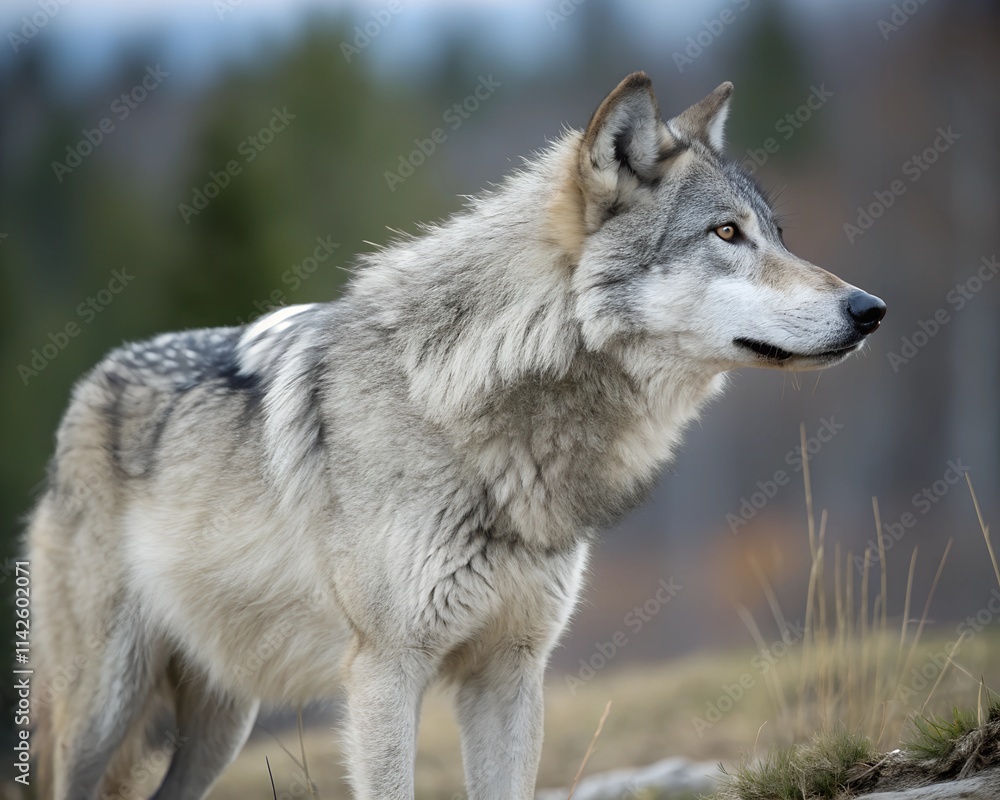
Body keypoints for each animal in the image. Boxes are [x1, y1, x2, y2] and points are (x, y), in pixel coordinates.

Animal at [28, 72, 884, 800]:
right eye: (726, 233)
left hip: (221, 722)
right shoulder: (385, 672)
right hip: (106, 706)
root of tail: (84, 390)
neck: (468, 406)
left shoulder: (509, 673)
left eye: (777, 234)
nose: (870, 308)